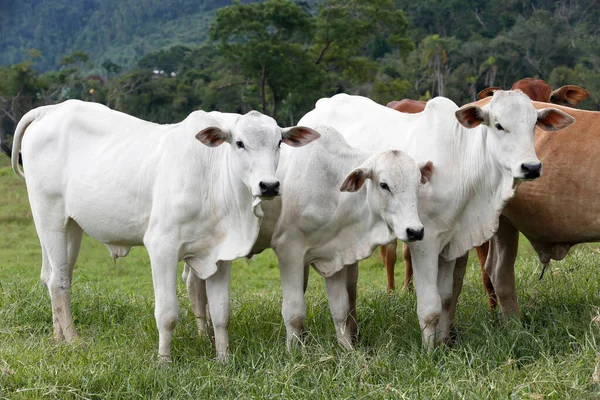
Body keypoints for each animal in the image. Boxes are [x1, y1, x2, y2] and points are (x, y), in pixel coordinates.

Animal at [11, 99, 322, 360]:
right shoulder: (162, 247)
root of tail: (49, 110)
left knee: (53, 276)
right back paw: (73, 340)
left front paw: (223, 358)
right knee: (59, 282)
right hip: (49, 217)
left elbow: (221, 312)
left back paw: (58, 339)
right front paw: (164, 361)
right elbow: (167, 313)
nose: (268, 185)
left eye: (279, 142)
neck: (214, 179)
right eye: (240, 143)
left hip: (72, 226)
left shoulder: (220, 255)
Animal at [184, 126, 432, 348]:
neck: (330, 185)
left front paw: (347, 349)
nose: (415, 231)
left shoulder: (334, 253)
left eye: (418, 184)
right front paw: (294, 351)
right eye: (384, 185)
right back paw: (203, 336)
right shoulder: (289, 250)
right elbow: (294, 311)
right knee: (194, 285)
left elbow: (341, 308)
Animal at [298, 92, 576, 348]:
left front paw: (444, 343)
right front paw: (429, 352)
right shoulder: (424, 241)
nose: (531, 167)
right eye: (498, 125)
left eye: (534, 124)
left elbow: (446, 298)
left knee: (351, 286)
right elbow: (430, 306)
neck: (460, 160)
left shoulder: (452, 242)